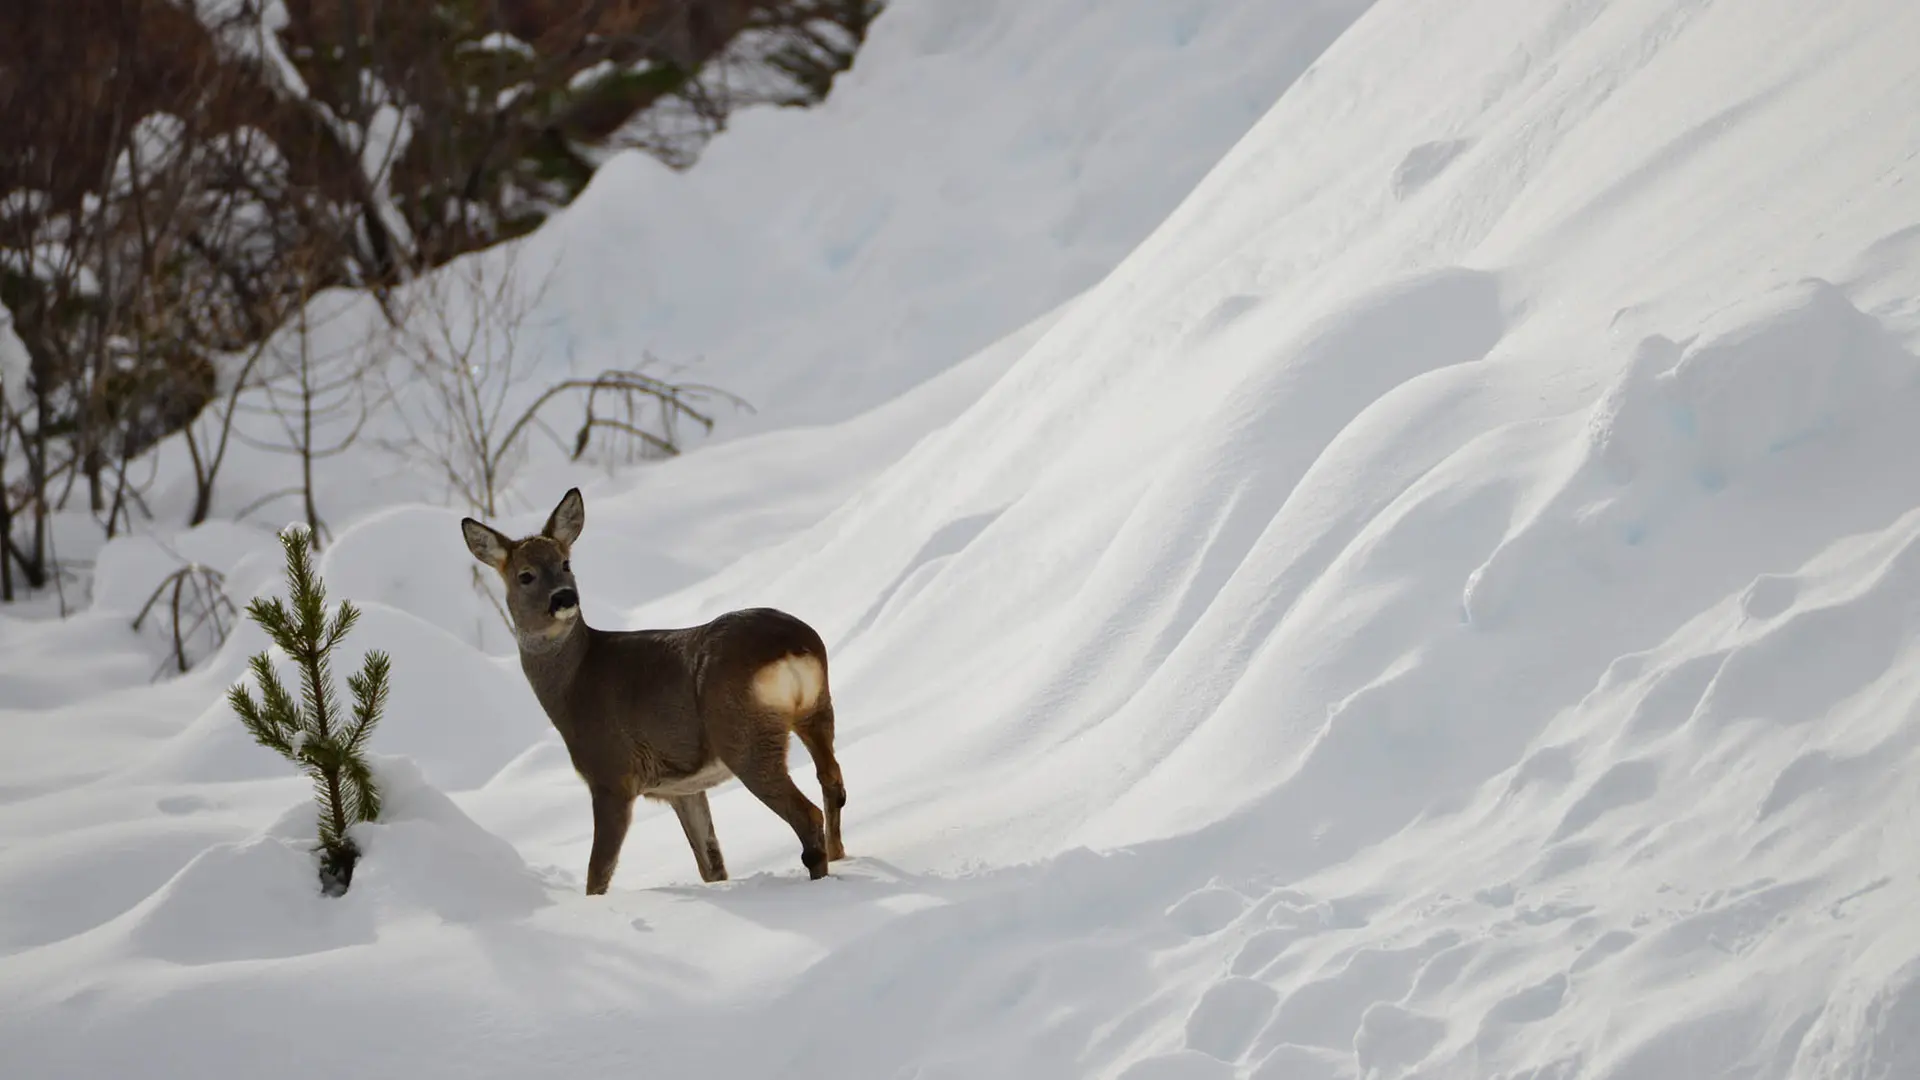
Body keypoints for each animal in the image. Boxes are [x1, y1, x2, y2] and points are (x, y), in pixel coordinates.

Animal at [460, 488, 844, 891]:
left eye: (565, 563)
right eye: (525, 575)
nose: (564, 598)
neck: (574, 682)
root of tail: (793, 647)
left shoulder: (611, 774)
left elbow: (598, 874)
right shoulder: (682, 787)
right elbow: (711, 863)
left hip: (745, 736)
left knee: (808, 814)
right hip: (817, 710)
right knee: (832, 783)